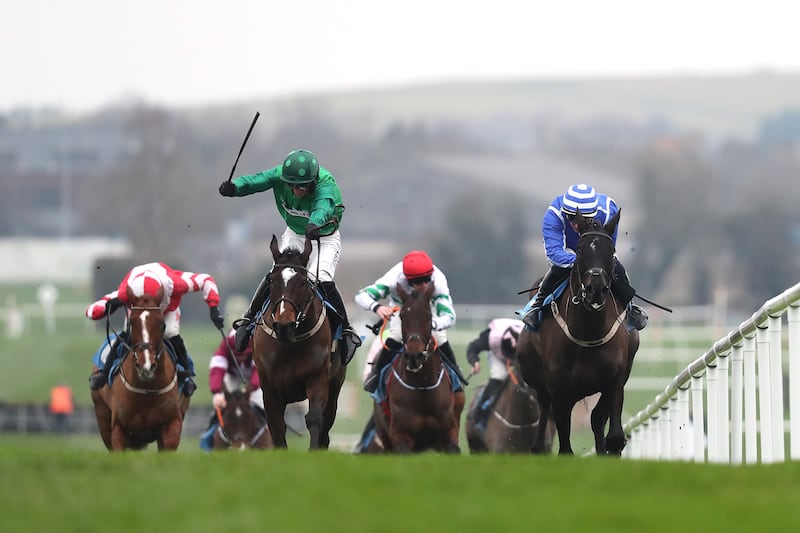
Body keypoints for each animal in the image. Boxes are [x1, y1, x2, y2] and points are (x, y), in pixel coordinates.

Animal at [90, 286, 191, 448]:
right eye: (131, 323)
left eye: (162, 324)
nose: (146, 365)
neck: (148, 390)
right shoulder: (118, 430)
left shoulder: (172, 426)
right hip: (102, 415)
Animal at [253, 237, 346, 448]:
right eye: (271, 280)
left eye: (303, 282)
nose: (283, 325)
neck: (290, 344)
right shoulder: (269, 389)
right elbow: (277, 428)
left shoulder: (318, 379)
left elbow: (314, 419)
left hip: (335, 386)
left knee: (326, 428)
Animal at [374, 282, 466, 454]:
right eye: (402, 316)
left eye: (429, 317)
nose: (414, 356)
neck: (422, 386)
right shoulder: (400, 438)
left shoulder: (449, 433)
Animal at [516, 210, 640, 456]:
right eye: (581, 250)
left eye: (611, 250)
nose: (596, 289)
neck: (588, 333)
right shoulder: (559, 390)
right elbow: (565, 447)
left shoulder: (615, 380)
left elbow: (612, 435)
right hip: (542, 385)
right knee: (544, 416)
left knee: (596, 420)